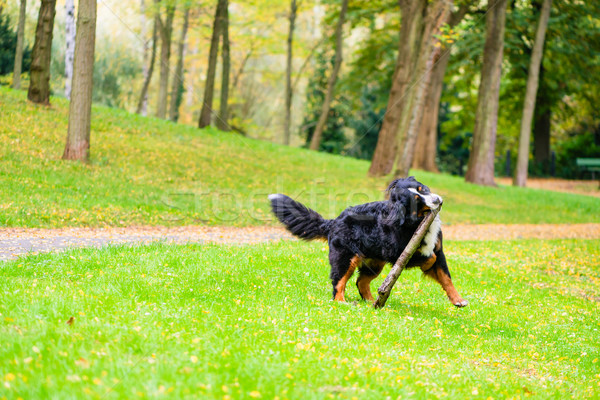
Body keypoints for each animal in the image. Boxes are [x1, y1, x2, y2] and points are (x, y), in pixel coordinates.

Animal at [268, 177, 468, 308]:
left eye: (422, 188)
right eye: (417, 201)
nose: (436, 200)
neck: (416, 221)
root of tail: (333, 221)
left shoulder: (439, 251)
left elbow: (446, 277)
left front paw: (458, 300)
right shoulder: (399, 254)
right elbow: (429, 258)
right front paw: (427, 264)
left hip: (374, 262)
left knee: (361, 282)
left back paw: (372, 303)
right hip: (345, 258)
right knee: (338, 282)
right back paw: (342, 303)